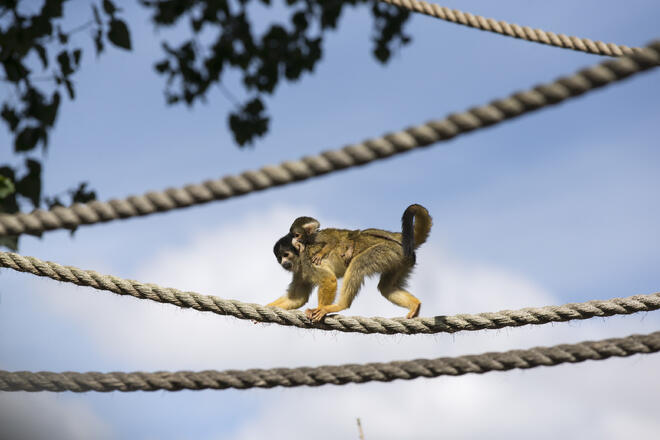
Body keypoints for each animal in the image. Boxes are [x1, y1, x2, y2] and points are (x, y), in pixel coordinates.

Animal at [270, 205, 430, 322]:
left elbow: (329, 280)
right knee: (386, 287)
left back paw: (339, 306)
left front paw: (321, 308)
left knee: (357, 264)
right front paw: (267, 307)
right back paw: (415, 305)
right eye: (279, 258)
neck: (300, 256)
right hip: (400, 258)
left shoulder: (308, 260)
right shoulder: (300, 271)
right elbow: (298, 297)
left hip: (387, 250)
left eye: (286, 255)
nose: (284, 263)